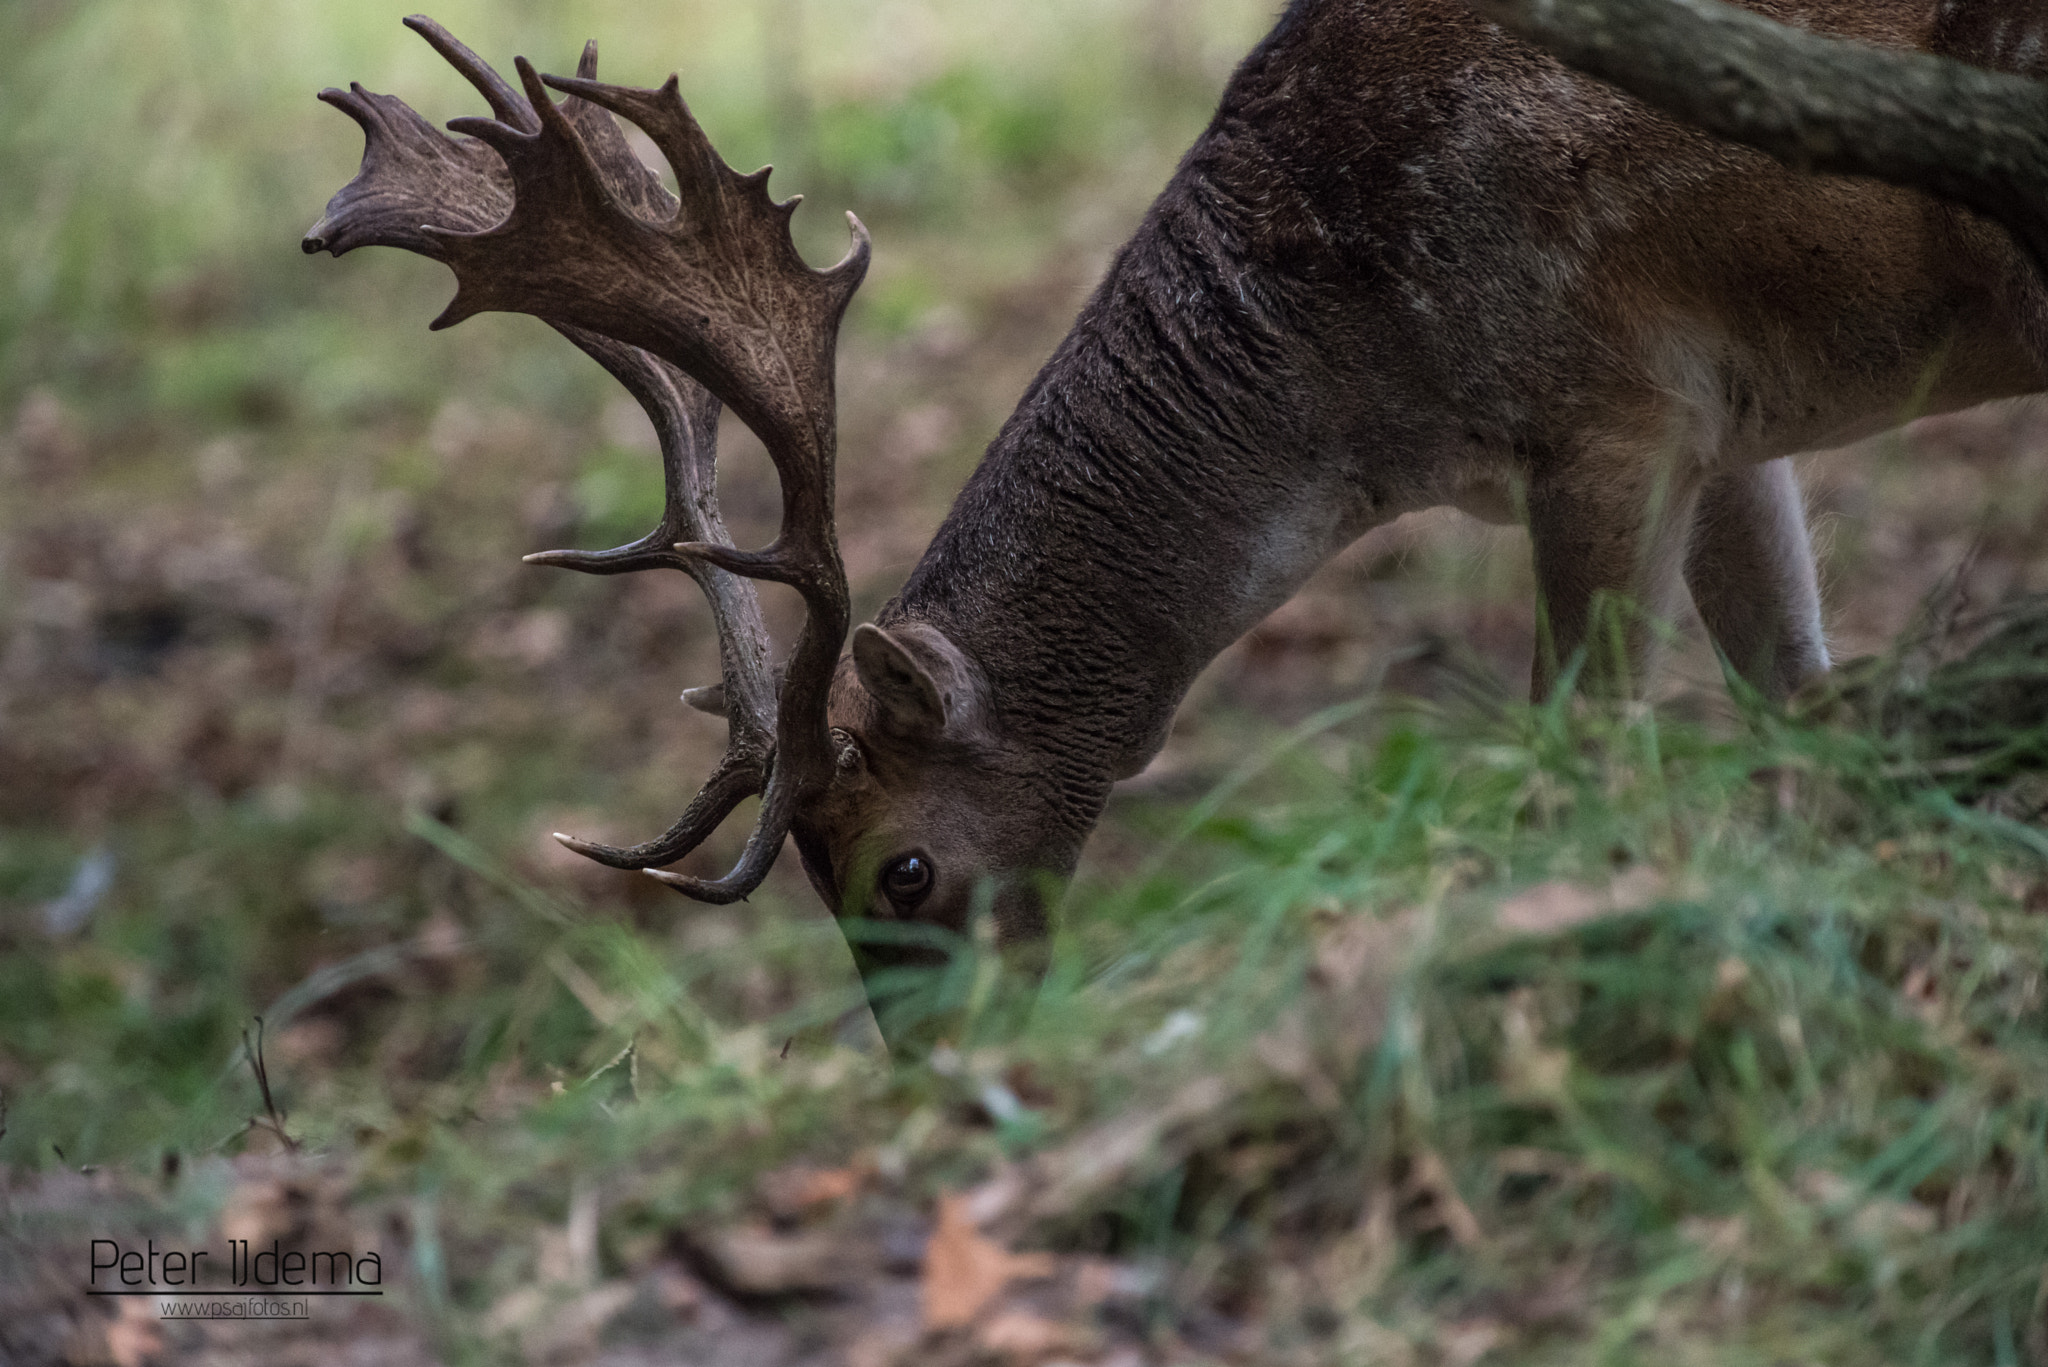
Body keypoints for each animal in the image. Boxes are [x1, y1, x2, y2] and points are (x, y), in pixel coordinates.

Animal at [311, 0, 2048, 1024]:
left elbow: (1585, 736)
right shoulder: (1728, 422)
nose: (938, 1063)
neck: (1366, 390)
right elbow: (1798, 692)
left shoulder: (1605, 408)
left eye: (904, 870)